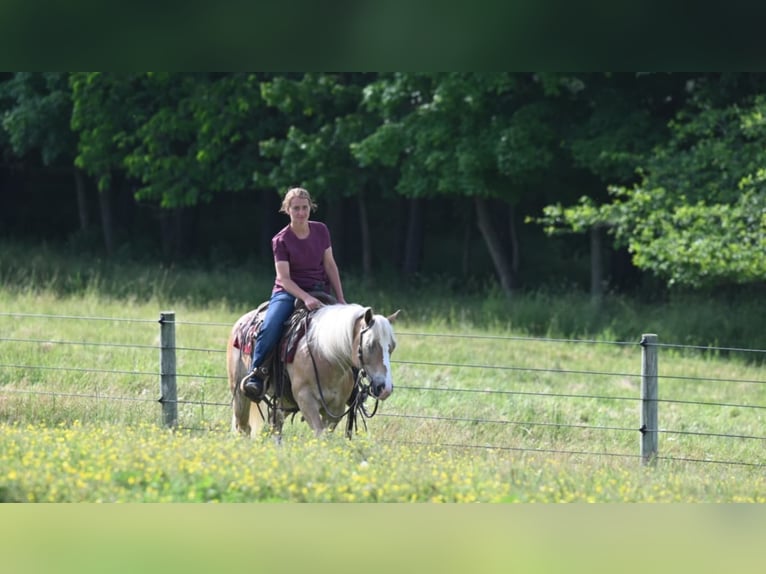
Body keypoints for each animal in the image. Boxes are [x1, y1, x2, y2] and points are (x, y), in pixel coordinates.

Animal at [226, 302, 402, 440]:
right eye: (370, 345)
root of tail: (242, 321)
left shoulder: (336, 409)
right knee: (243, 427)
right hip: (240, 392)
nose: (385, 388)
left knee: (274, 425)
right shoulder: (306, 400)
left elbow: (326, 435)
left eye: (392, 347)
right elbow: (320, 433)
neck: (326, 355)